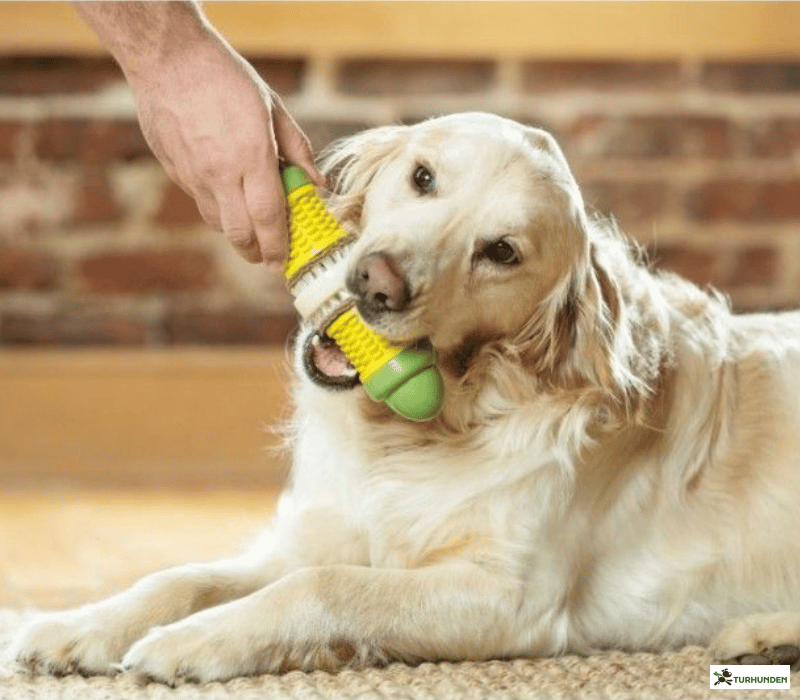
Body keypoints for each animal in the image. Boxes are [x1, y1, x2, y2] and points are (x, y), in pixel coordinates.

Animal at [10, 113, 800, 684]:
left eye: (502, 251)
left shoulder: (512, 594)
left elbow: (323, 587)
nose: (375, 283)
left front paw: (191, 642)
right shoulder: (317, 532)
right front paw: (76, 627)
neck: (419, 433)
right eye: (423, 177)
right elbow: (181, 576)